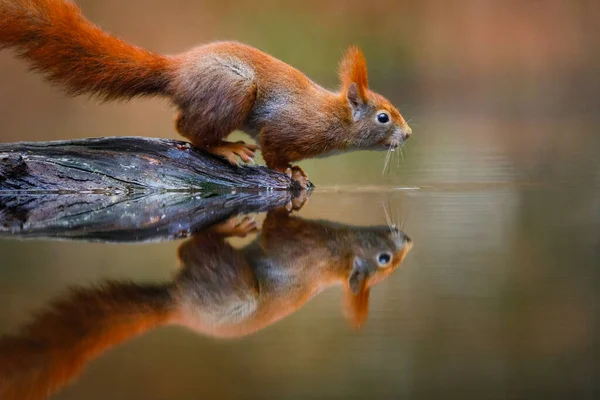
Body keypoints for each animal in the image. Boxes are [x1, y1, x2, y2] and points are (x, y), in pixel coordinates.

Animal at [0, 0, 412, 188]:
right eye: (383, 117)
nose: (408, 134)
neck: (332, 117)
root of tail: (177, 69)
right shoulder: (285, 127)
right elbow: (274, 153)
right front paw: (290, 172)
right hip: (234, 90)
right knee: (187, 128)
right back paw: (225, 148)